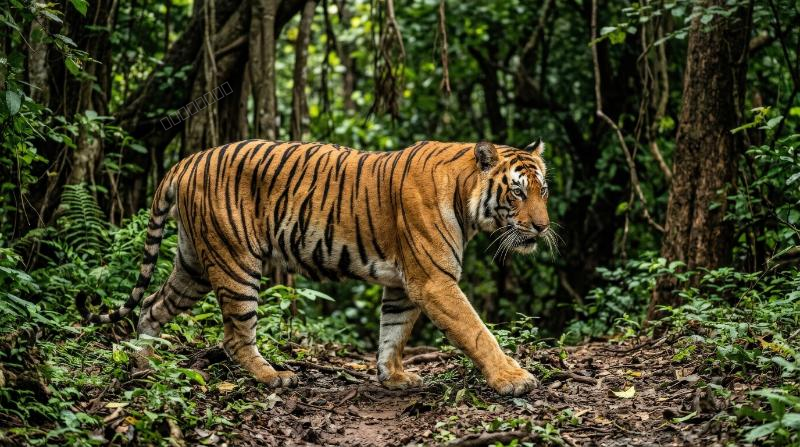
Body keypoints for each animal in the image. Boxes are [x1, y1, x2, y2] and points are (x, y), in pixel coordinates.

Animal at [77, 139, 551, 396]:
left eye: (543, 190)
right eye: (517, 192)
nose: (543, 227)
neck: (466, 199)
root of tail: (187, 160)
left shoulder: (403, 285)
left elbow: (393, 334)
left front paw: (394, 378)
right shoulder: (433, 281)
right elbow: (477, 331)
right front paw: (513, 378)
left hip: (193, 264)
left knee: (152, 307)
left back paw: (145, 365)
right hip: (236, 263)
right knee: (234, 336)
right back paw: (273, 377)